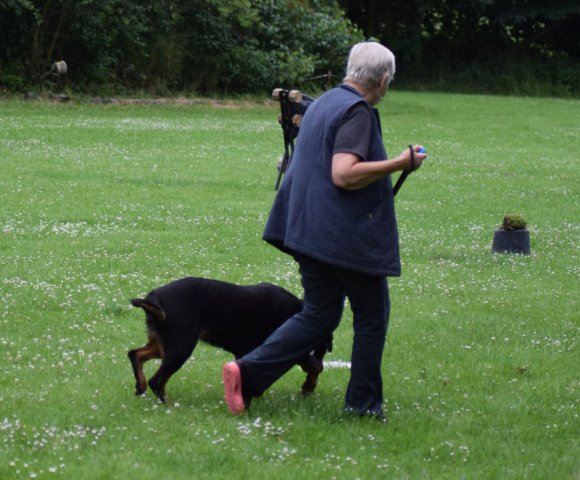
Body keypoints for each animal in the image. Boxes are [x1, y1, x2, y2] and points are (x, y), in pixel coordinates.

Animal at [130, 276, 330, 404]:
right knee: (157, 380)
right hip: (181, 347)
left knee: (135, 354)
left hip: (164, 345)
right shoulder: (288, 346)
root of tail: (154, 296)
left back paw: (140, 386)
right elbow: (317, 366)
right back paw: (168, 405)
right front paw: (308, 386)